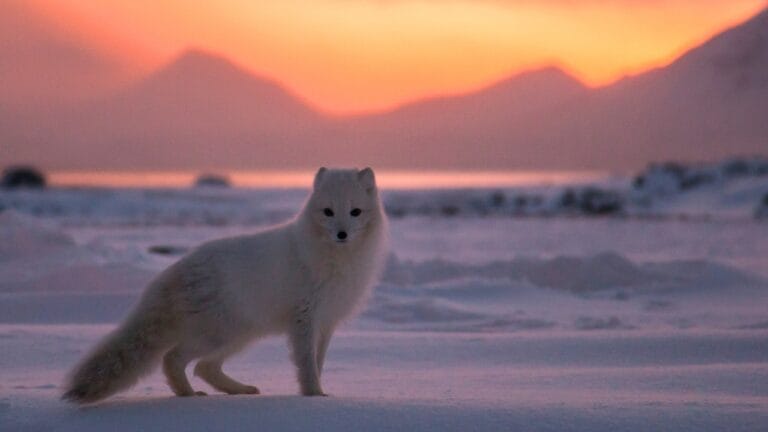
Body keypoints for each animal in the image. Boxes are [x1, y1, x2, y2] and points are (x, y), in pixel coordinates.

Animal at [62, 167, 389, 404]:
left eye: (355, 211)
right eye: (328, 212)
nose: (342, 234)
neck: (337, 261)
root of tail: (179, 268)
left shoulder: (327, 321)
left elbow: (318, 361)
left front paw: (318, 392)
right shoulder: (305, 319)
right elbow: (306, 363)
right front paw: (313, 395)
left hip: (240, 335)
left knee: (204, 367)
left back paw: (239, 390)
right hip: (220, 334)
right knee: (174, 359)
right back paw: (188, 395)